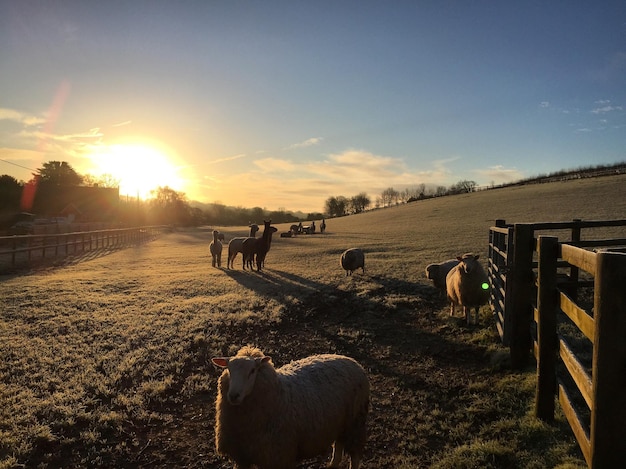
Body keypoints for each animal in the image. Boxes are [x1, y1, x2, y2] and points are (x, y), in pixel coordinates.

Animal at [212, 344, 368, 468]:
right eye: (229, 370)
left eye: (252, 371)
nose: (233, 396)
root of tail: (350, 360)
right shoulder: (242, 456)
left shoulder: (278, 455)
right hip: (340, 423)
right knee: (339, 444)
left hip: (356, 421)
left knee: (354, 456)